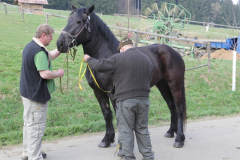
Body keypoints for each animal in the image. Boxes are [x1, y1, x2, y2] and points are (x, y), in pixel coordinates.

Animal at [57, 4, 187, 148]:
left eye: (80, 21)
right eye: (69, 20)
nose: (60, 43)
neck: (103, 57)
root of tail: (175, 52)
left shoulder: (113, 93)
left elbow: (119, 117)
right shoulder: (98, 92)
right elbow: (107, 114)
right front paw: (107, 140)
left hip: (175, 84)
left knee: (179, 108)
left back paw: (179, 139)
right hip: (162, 85)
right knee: (171, 106)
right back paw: (170, 132)